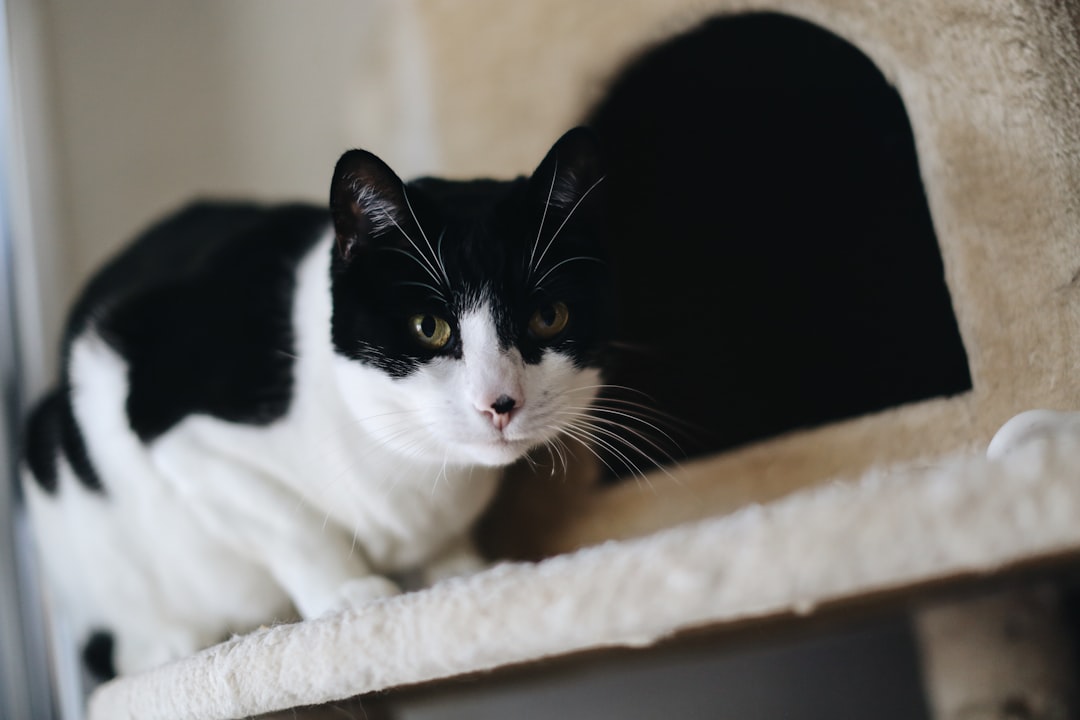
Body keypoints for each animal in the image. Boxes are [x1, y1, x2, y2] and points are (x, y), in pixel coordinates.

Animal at [21, 126, 613, 677]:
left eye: (548, 317)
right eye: (429, 327)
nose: (499, 402)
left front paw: (462, 571)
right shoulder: (167, 418)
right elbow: (290, 522)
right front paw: (350, 594)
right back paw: (169, 644)